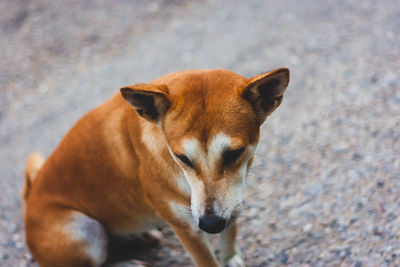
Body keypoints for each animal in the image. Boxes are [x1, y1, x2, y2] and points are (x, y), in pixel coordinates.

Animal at [23, 68, 290, 266]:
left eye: (234, 153)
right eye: (183, 158)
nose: (210, 225)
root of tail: (30, 197)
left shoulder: (231, 203)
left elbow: (230, 235)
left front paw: (229, 256)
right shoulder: (187, 228)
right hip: (81, 232)